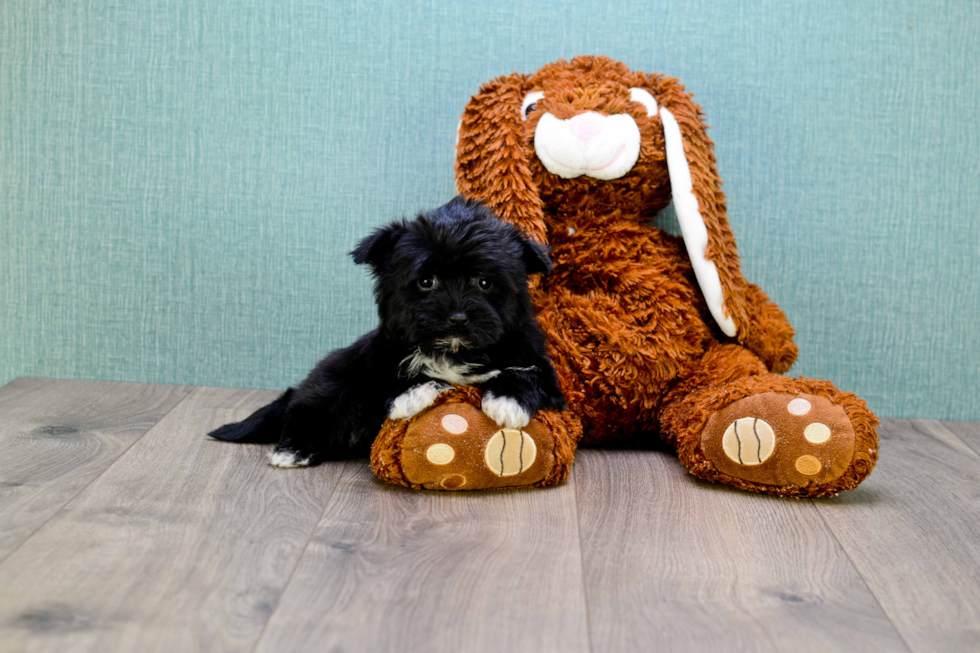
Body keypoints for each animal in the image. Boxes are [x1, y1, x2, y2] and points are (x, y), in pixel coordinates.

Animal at [211, 196, 572, 466]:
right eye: (426, 281)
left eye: (485, 282)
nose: (457, 317)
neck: (454, 350)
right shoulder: (374, 361)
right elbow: (387, 380)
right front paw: (411, 395)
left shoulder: (539, 365)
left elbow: (525, 374)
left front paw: (507, 402)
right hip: (328, 388)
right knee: (308, 414)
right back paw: (292, 450)